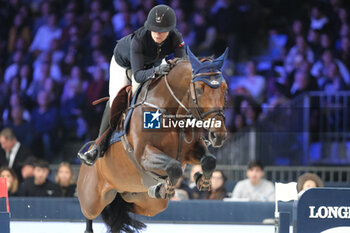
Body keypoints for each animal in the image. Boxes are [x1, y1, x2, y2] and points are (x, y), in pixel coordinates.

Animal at [77, 46, 228, 232]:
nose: (218, 135)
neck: (170, 111)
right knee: (89, 214)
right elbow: (173, 166)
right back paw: (92, 155)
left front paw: (201, 181)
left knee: (125, 208)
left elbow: (208, 161)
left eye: (225, 89)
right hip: (92, 198)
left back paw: (155, 191)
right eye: (199, 89)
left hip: (145, 202)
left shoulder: (191, 150)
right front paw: (170, 186)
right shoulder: (143, 154)